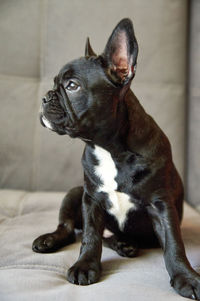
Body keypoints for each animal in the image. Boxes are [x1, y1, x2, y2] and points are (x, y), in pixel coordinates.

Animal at [32, 18, 200, 298]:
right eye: (54, 83)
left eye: (72, 86)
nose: (45, 97)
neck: (108, 148)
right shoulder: (91, 200)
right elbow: (90, 236)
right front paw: (85, 265)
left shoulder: (161, 205)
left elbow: (174, 244)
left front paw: (185, 277)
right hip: (75, 193)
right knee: (69, 228)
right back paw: (51, 239)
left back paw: (123, 243)